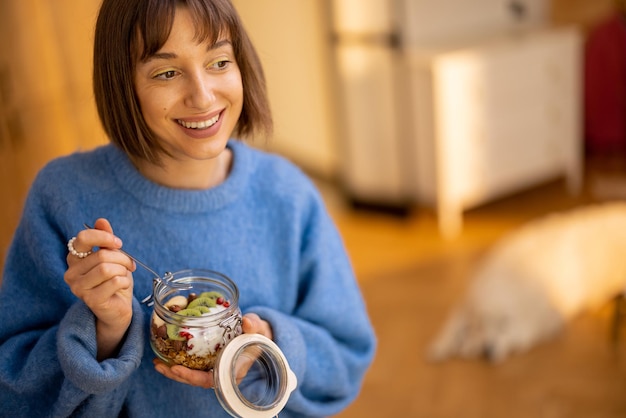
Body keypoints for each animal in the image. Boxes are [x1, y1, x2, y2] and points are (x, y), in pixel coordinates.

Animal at [426, 202, 624, 362]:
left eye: (505, 326)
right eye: (484, 325)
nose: (487, 351)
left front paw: (468, 345)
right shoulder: (469, 299)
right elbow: (453, 323)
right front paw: (442, 345)